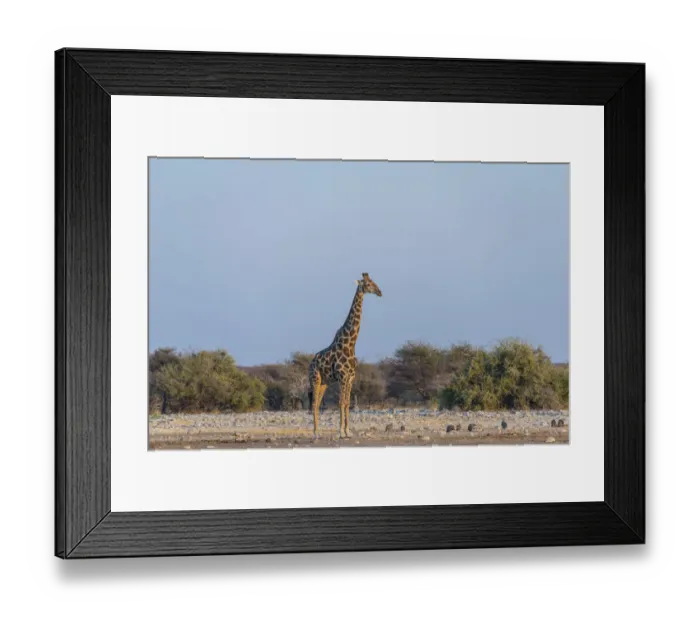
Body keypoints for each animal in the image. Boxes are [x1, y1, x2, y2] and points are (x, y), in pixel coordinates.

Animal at [308, 273, 382, 440]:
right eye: (368, 284)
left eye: (373, 281)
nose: (380, 292)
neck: (350, 343)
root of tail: (310, 363)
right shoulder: (342, 376)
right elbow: (341, 402)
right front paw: (340, 432)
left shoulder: (350, 377)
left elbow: (348, 402)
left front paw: (348, 431)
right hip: (315, 379)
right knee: (314, 403)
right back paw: (315, 433)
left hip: (325, 382)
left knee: (318, 403)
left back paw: (318, 431)